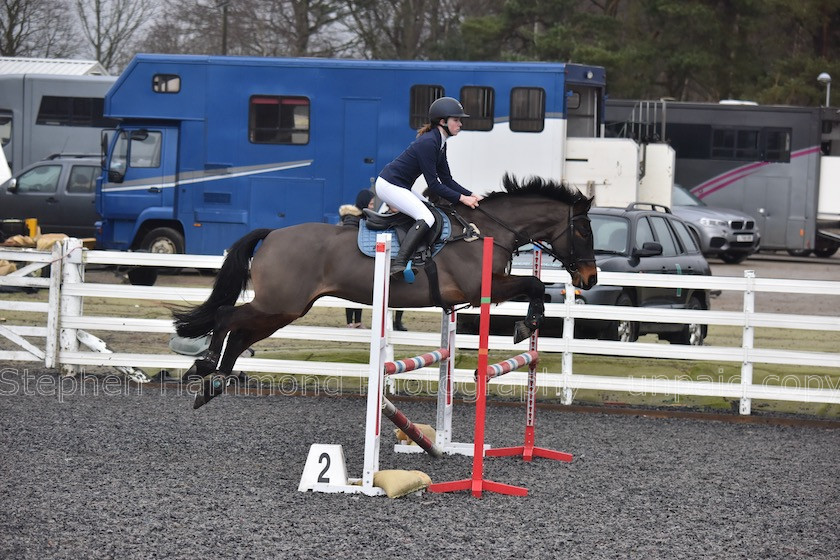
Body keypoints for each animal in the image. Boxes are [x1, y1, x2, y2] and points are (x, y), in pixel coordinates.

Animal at [172, 173, 596, 410]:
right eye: (582, 231)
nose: (589, 278)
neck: (485, 231)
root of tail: (273, 234)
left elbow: (535, 284)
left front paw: (529, 323)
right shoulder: (481, 288)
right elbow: (535, 283)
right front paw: (528, 324)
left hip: (285, 309)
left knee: (241, 333)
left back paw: (213, 383)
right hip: (280, 303)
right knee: (227, 317)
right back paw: (203, 366)